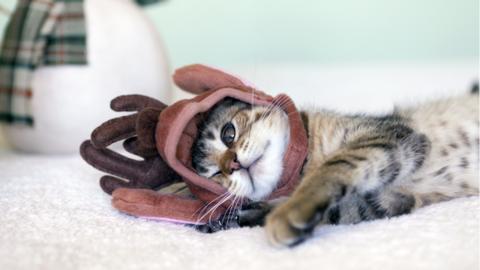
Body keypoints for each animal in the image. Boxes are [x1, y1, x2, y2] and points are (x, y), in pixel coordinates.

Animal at [190, 88, 476, 247]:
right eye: (214, 174)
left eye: (228, 134)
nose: (232, 165)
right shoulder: (394, 200)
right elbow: (339, 210)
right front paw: (230, 219)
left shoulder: (395, 136)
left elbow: (333, 166)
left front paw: (289, 210)